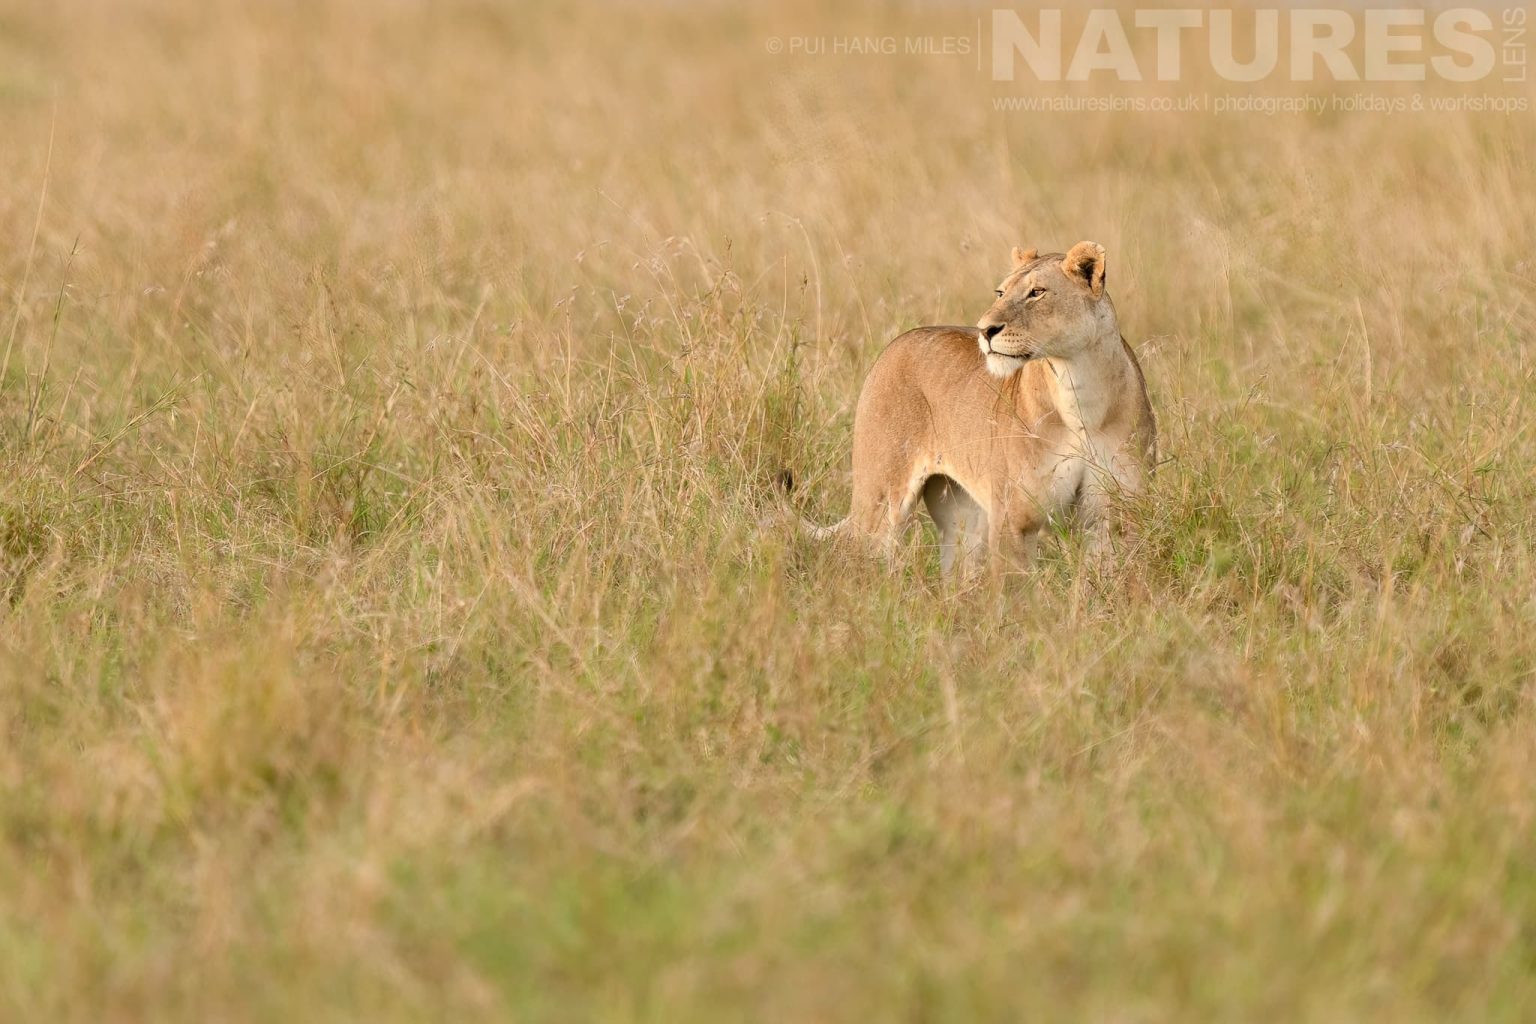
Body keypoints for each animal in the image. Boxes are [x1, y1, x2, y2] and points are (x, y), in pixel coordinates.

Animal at [787, 242, 1155, 573]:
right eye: (1001, 292)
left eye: (1037, 292)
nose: (985, 329)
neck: (1081, 395)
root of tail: (894, 344)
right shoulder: (1014, 518)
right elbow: (1015, 592)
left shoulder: (1112, 518)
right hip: (880, 497)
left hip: (964, 517)